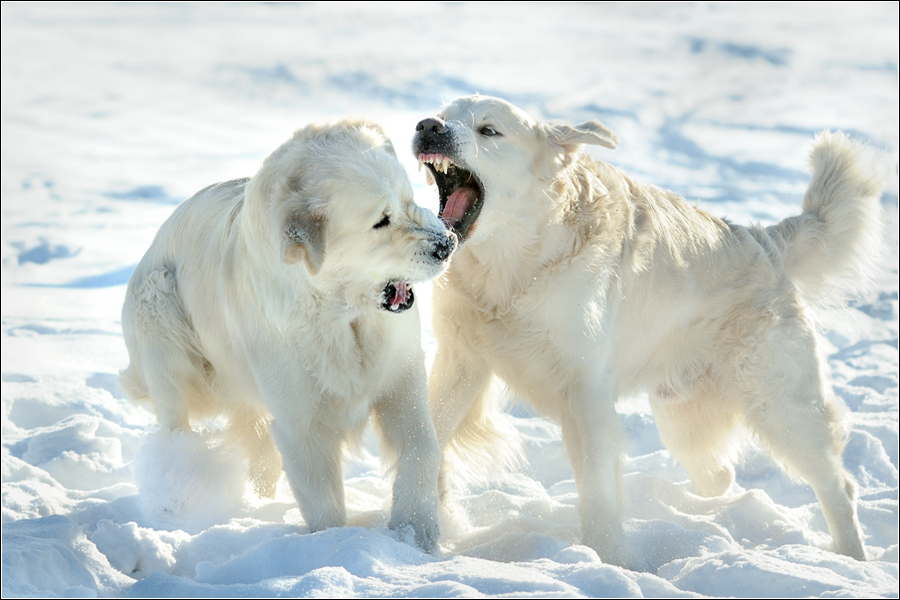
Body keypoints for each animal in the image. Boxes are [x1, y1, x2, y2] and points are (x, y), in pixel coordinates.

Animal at [121, 118, 458, 552]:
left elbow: (422, 448)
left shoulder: (400, 382)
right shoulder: (301, 424)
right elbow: (323, 501)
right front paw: (335, 545)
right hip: (160, 311)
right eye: (380, 221)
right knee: (176, 426)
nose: (446, 244)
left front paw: (416, 531)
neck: (339, 316)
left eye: (409, 199)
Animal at [414, 96, 884, 564]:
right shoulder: (463, 362)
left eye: (489, 131)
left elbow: (598, 494)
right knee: (720, 474)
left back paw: (851, 559)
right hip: (682, 417)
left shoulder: (584, 393)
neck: (515, 268)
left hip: (780, 407)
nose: (428, 126)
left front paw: (609, 561)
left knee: (838, 487)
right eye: (445, 113)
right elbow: (430, 434)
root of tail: (765, 240)